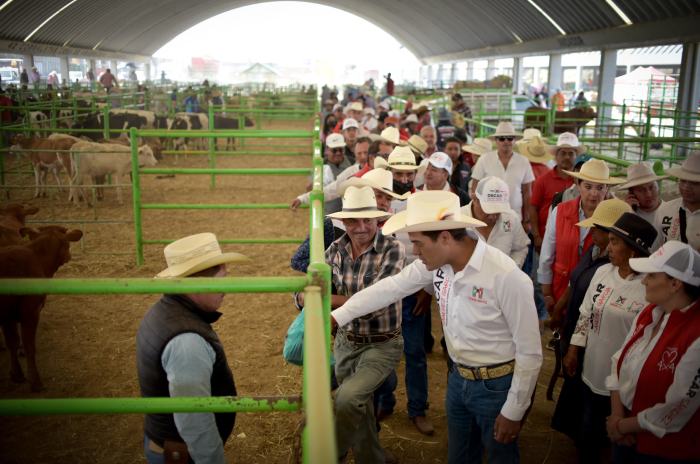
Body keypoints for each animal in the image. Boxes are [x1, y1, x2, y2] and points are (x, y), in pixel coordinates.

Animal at [0, 227, 82, 390]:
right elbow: (29, 345)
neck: (37, 258)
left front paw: (16, 375)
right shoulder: (31, 312)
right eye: (67, 244)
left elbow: (12, 342)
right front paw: (35, 381)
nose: (69, 256)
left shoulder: (8, 315)